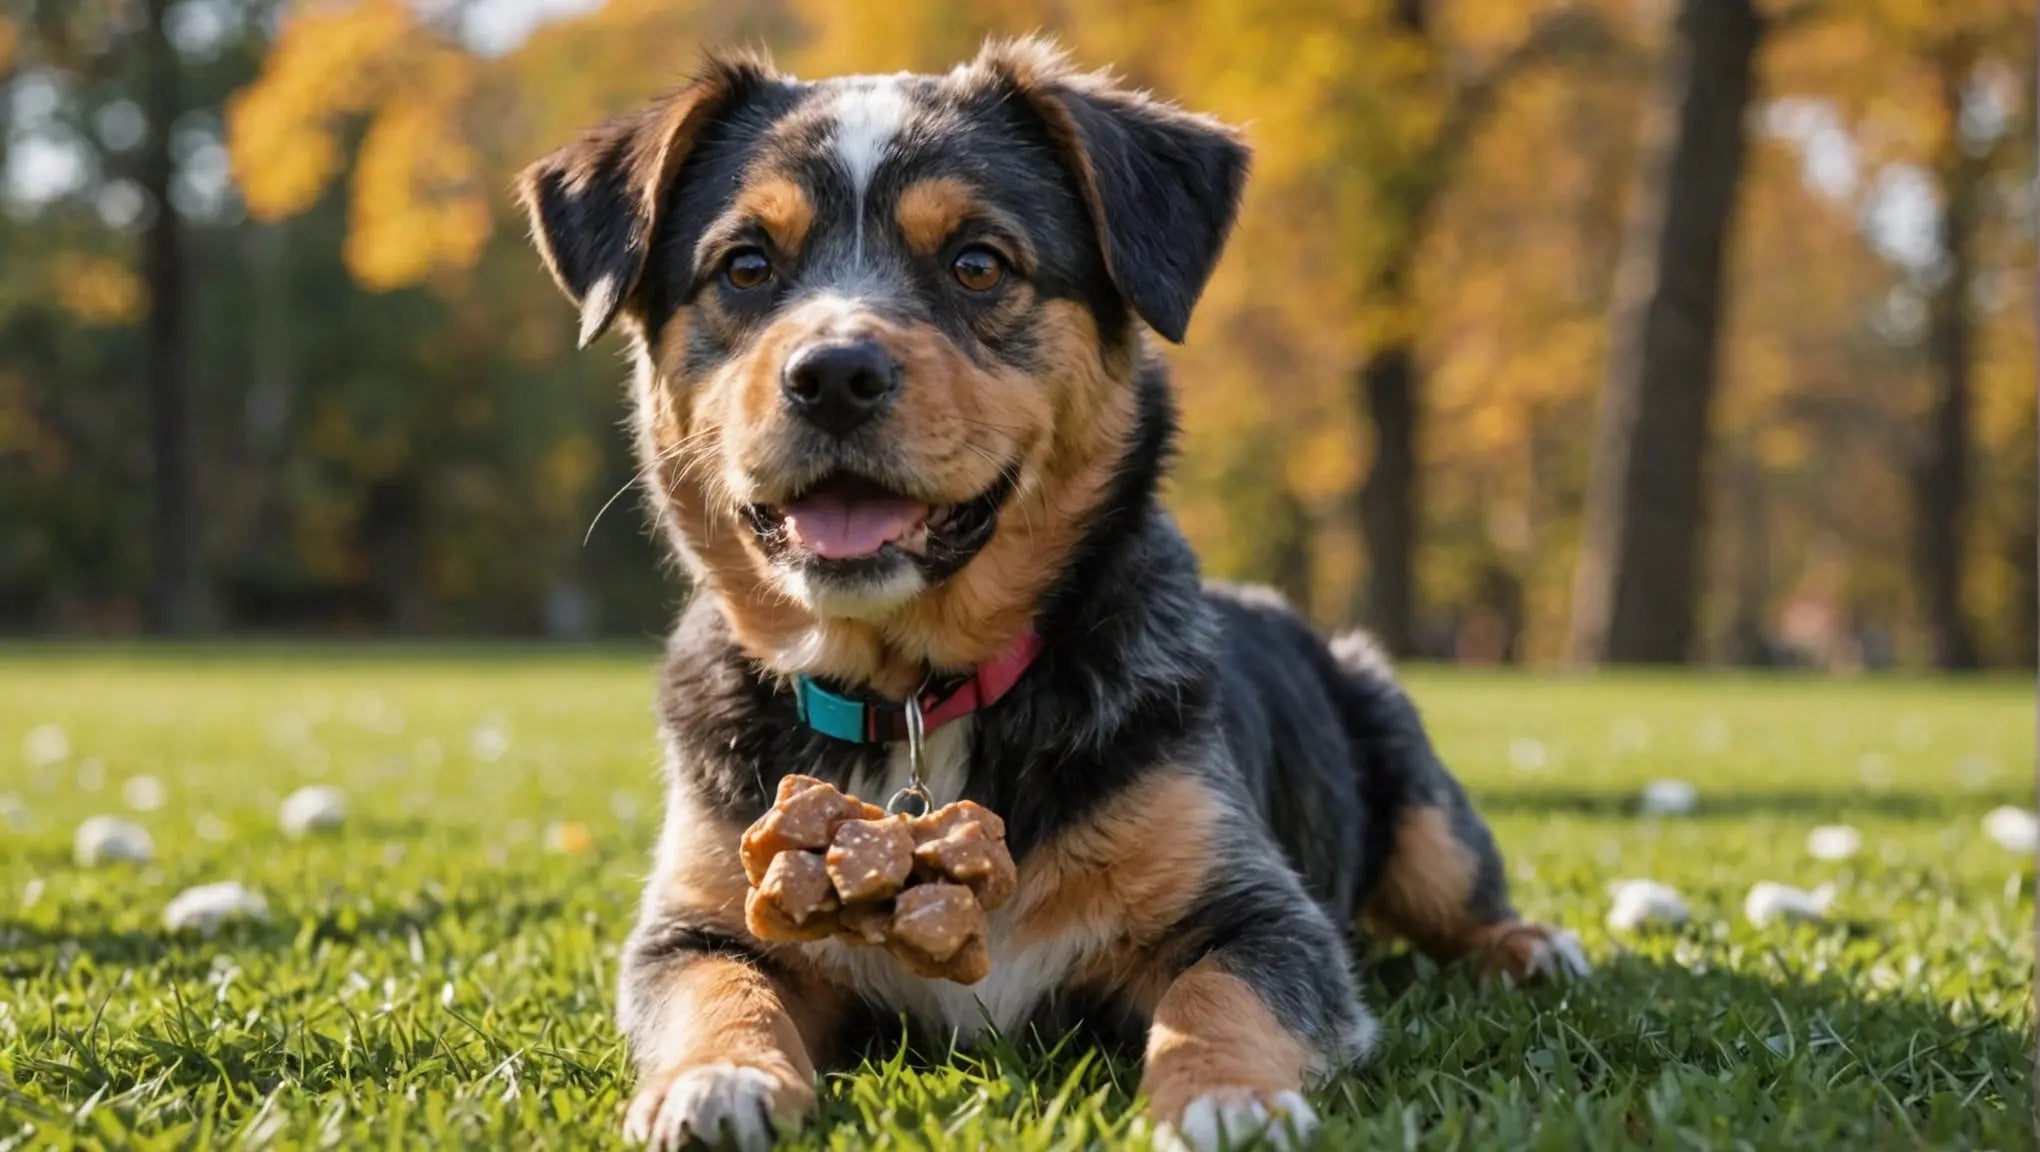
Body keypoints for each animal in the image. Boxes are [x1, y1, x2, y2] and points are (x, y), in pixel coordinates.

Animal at [518, 35, 1583, 1149]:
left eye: (979, 261)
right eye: (746, 264)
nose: (835, 373)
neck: (912, 692)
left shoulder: (1256, 908)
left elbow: (1223, 994)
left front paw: (1227, 1095)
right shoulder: (699, 915)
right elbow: (718, 987)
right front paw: (717, 1078)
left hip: (1412, 780)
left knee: (1456, 892)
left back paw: (1529, 949)